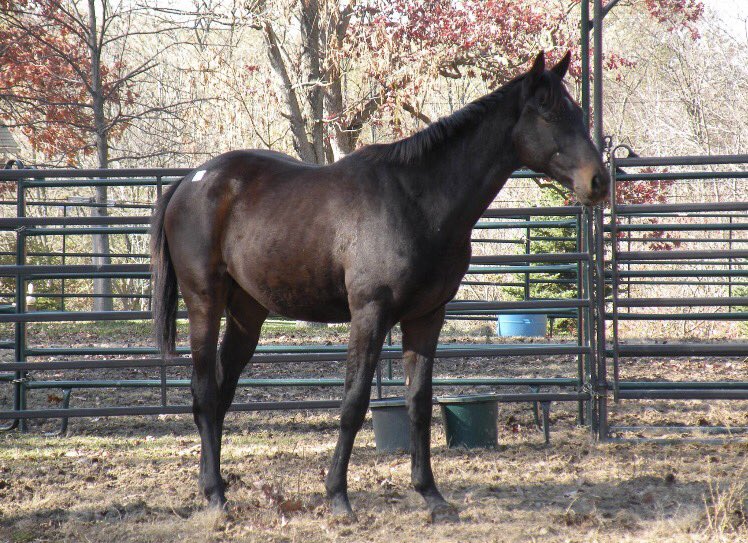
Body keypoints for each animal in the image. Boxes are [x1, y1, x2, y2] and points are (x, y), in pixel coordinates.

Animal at [150, 51, 610, 522]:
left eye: (577, 111)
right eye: (548, 111)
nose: (599, 181)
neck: (417, 199)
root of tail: (190, 181)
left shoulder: (427, 318)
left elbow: (419, 403)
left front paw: (430, 494)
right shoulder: (369, 315)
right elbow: (353, 403)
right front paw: (337, 496)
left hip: (247, 313)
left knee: (222, 393)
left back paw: (217, 486)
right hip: (204, 302)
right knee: (205, 394)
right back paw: (214, 495)